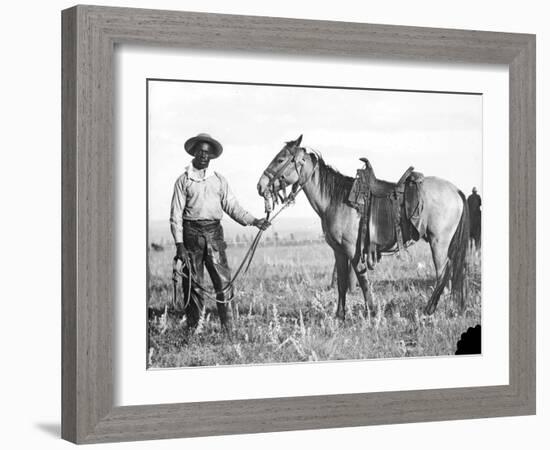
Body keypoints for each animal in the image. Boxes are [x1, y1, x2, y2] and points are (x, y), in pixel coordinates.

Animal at [258, 135, 470, 318]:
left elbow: (362, 280)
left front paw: (371, 312)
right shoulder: (339, 251)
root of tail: (456, 191)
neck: (335, 199)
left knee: (443, 273)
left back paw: (429, 309)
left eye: (280, 159)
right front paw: (340, 316)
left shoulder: (353, 249)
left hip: (438, 242)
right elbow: (342, 282)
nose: (260, 186)